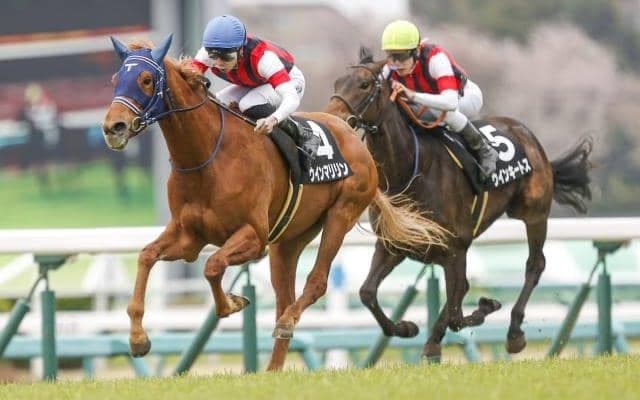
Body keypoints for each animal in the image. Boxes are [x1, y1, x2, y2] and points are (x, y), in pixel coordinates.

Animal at [101, 36, 448, 371]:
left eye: (146, 79)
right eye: (116, 78)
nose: (113, 127)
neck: (207, 156)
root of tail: (353, 136)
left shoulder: (254, 237)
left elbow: (213, 266)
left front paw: (233, 303)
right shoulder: (188, 238)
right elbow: (146, 256)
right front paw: (138, 339)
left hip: (341, 214)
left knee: (316, 283)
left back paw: (287, 322)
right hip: (288, 242)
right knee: (285, 296)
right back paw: (273, 367)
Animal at [325, 47, 593, 360]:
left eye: (365, 84)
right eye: (336, 82)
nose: (332, 117)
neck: (411, 169)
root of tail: (529, 136)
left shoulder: (455, 248)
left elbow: (455, 311)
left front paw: (479, 311)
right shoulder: (394, 244)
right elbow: (367, 293)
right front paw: (407, 328)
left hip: (534, 213)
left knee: (534, 265)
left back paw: (514, 333)